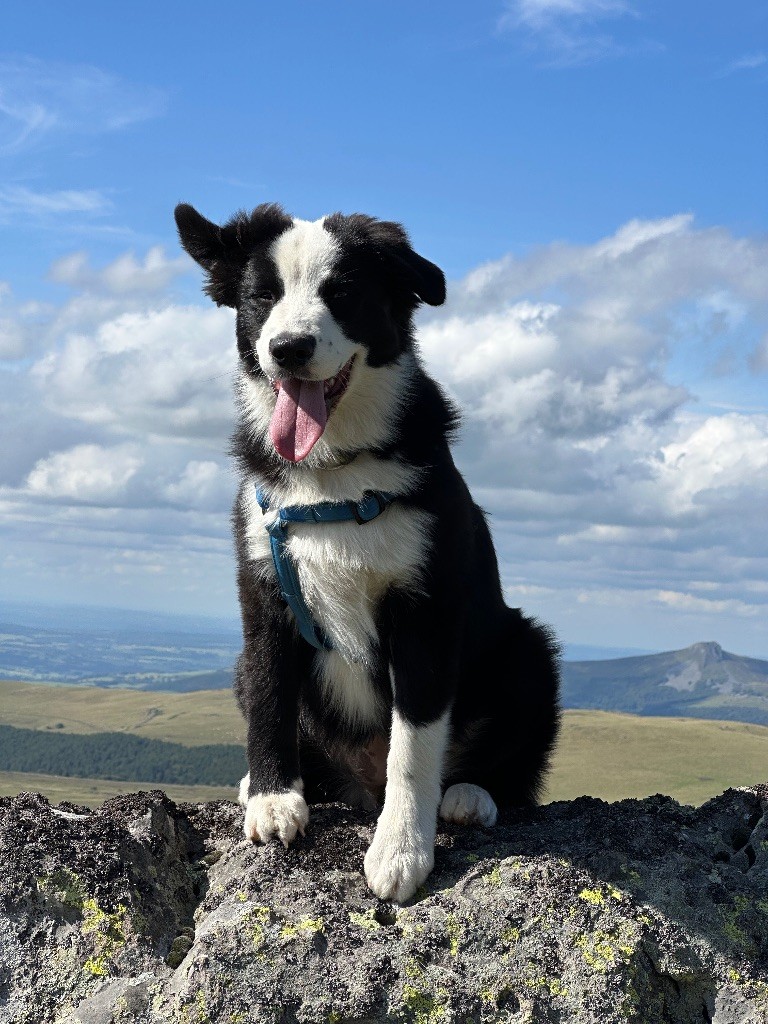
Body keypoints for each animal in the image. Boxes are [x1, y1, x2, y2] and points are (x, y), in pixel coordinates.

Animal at [173, 201, 561, 905]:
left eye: (343, 294)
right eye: (261, 297)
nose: (288, 348)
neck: (334, 475)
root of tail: (360, 782)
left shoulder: (424, 607)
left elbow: (414, 741)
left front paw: (401, 850)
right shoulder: (264, 592)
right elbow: (270, 693)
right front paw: (273, 799)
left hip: (527, 649)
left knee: (507, 757)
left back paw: (472, 795)